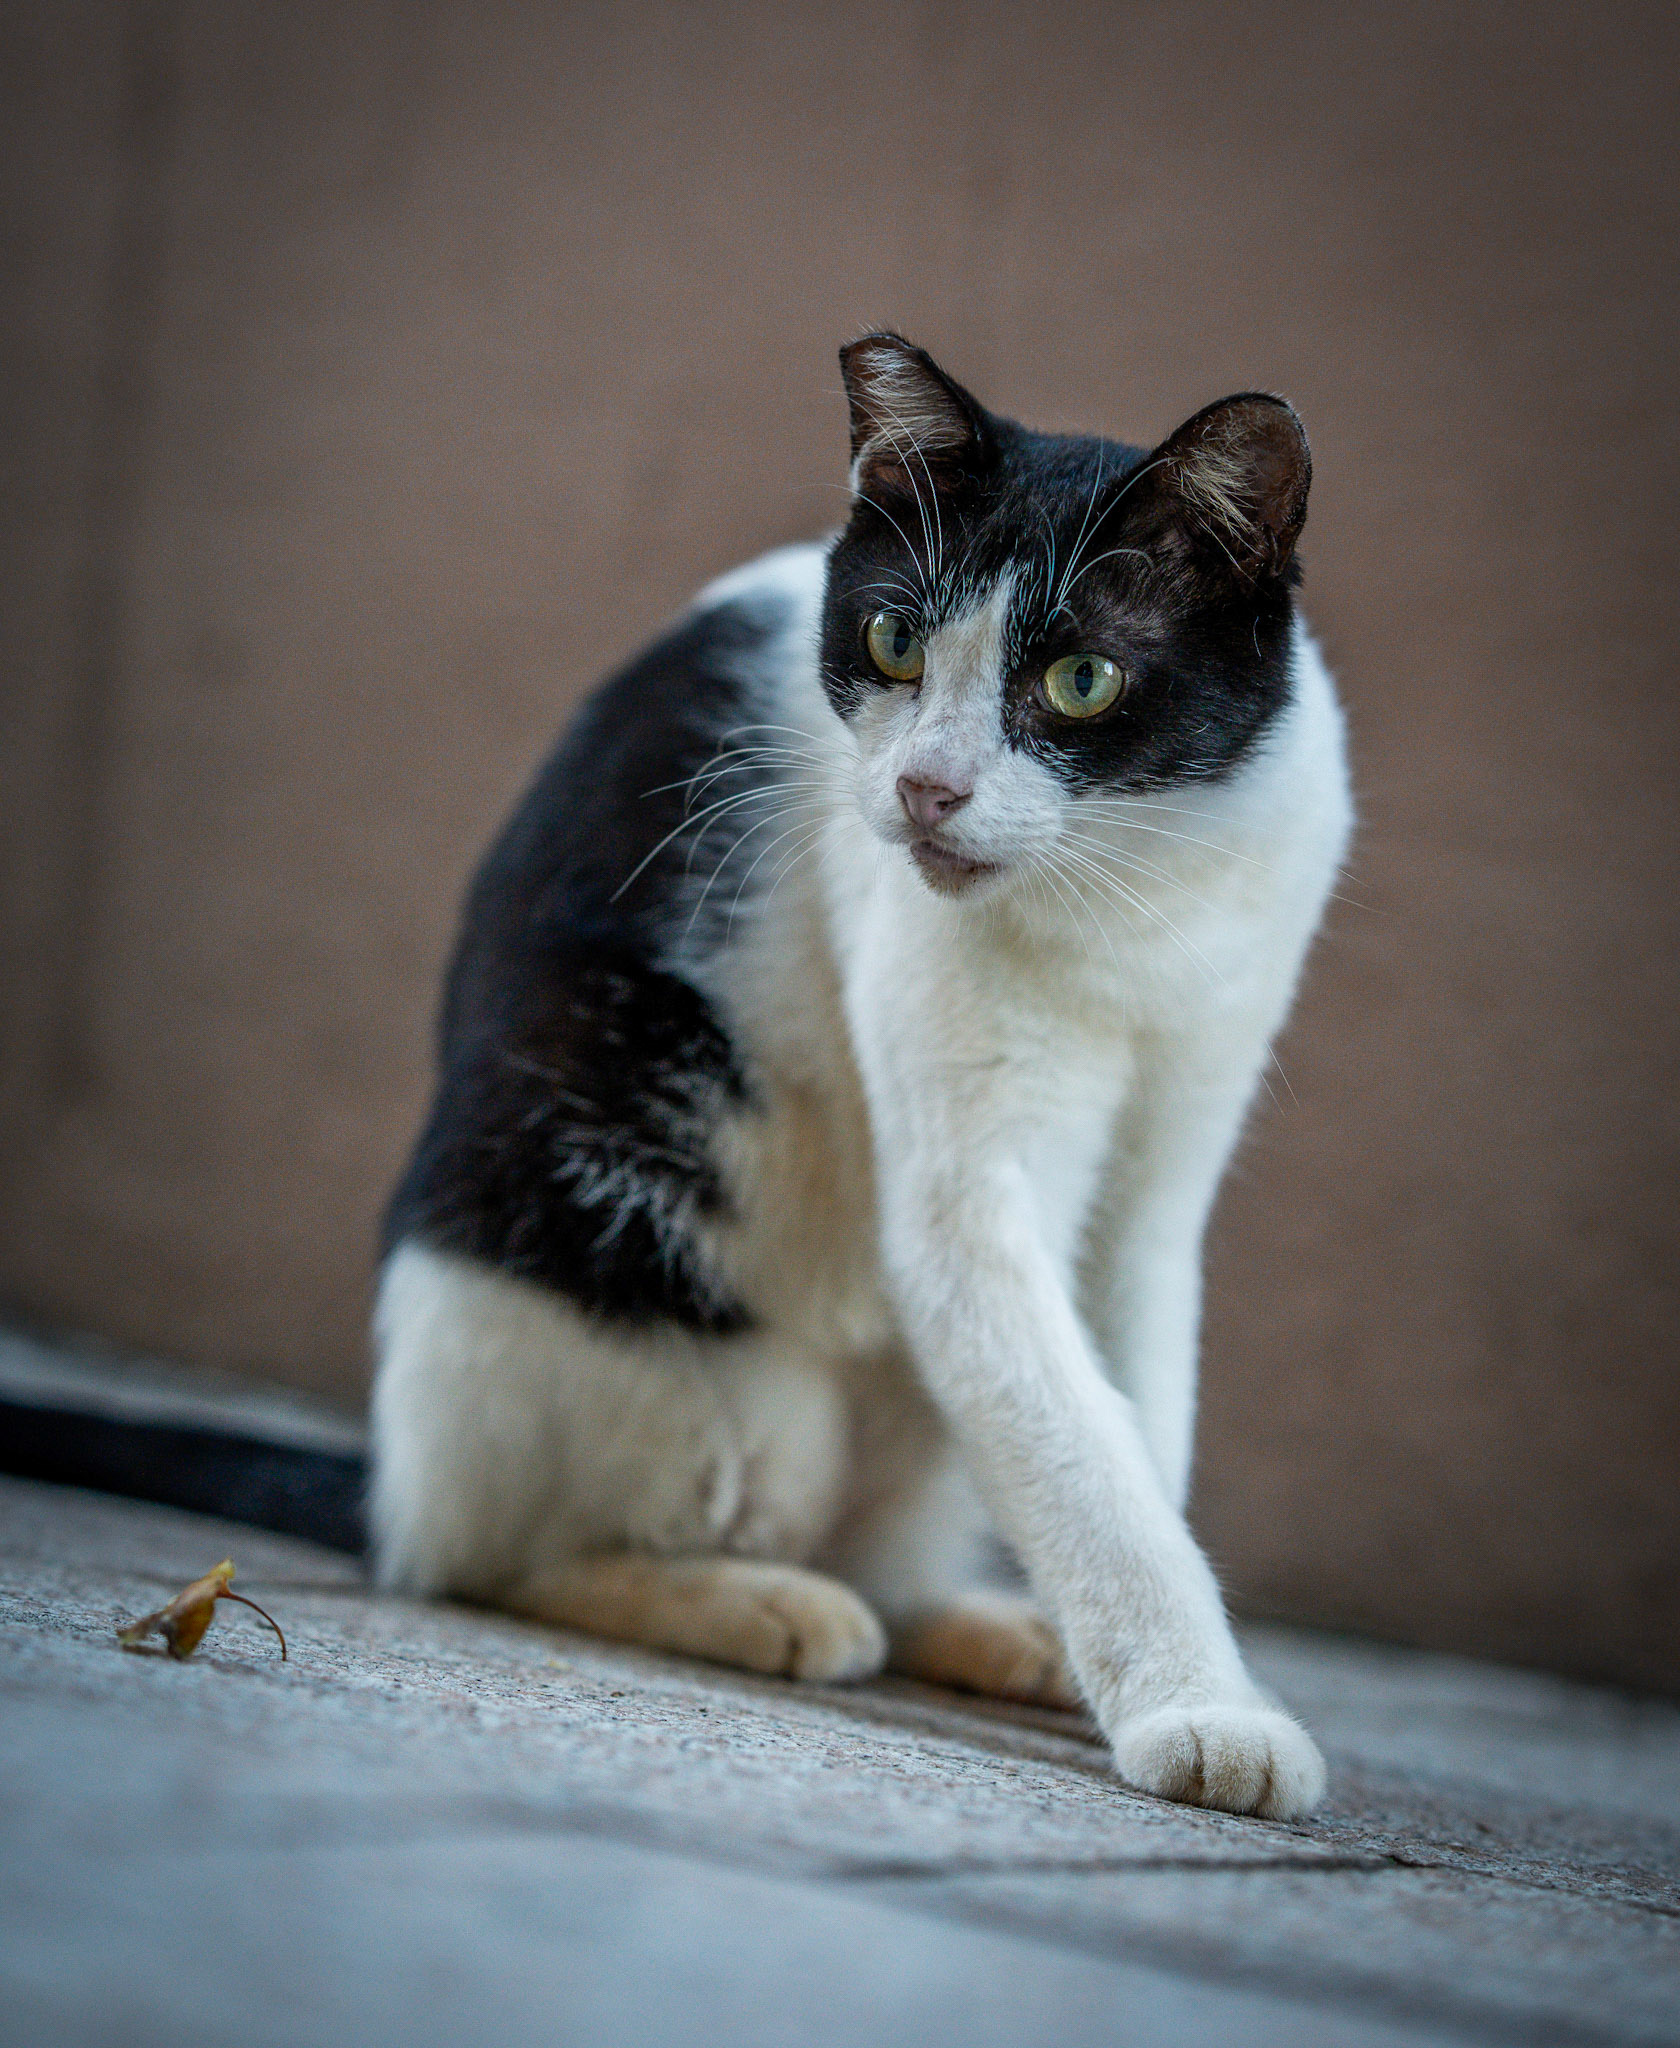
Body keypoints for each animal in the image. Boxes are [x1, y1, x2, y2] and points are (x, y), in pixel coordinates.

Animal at [371, 332, 1352, 1820]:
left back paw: (991, 1631)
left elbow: (1134, 1422)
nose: (926, 791)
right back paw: (759, 1603)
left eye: (1081, 679)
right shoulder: (966, 1201)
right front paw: (1205, 1710)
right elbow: (1080, 1446)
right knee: (500, 1561)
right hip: (678, 1348)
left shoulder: (1169, 1160)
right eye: (894, 642)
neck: (1133, 893)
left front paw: (1173, 1676)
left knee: (895, 1545)